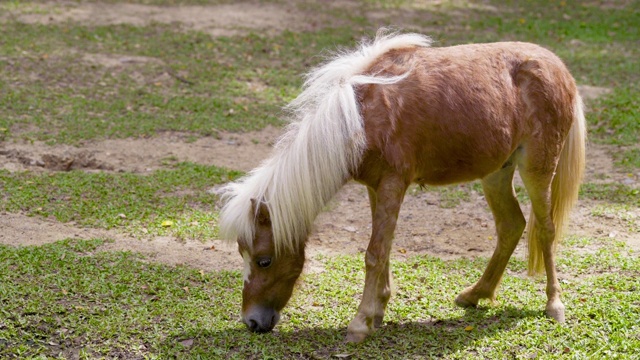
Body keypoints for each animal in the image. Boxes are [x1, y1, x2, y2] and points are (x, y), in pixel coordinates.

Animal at [219, 29, 584, 342]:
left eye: (264, 260)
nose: (252, 321)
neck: (360, 117)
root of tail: (561, 70)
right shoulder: (375, 187)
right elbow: (384, 249)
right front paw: (378, 311)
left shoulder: (393, 184)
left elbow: (374, 253)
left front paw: (360, 323)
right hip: (496, 173)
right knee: (511, 225)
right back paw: (475, 294)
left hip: (537, 168)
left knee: (545, 229)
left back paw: (554, 305)